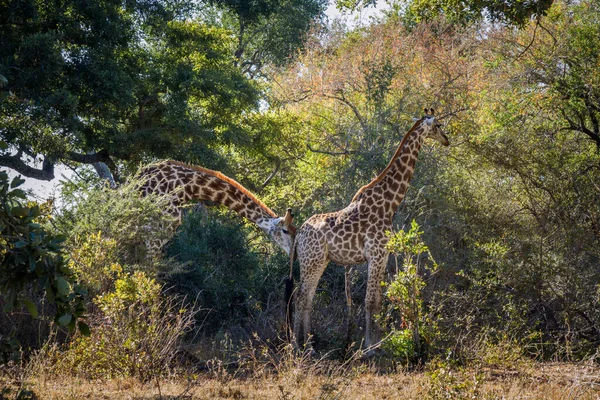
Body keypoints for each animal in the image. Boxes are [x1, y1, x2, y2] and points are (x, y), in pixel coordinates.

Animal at [290, 109, 450, 350]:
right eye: (438, 125)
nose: (447, 140)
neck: (389, 203)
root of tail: (298, 235)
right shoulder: (375, 254)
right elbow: (370, 301)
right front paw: (369, 347)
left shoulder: (383, 255)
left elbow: (377, 301)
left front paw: (377, 343)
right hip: (312, 261)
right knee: (301, 297)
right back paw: (299, 346)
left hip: (319, 261)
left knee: (306, 297)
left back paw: (307, 345)